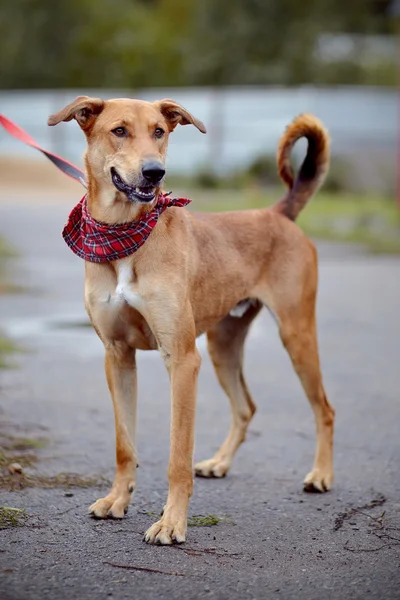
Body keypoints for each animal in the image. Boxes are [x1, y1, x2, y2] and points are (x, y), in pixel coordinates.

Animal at [47, 97, 334, 544]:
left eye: (160, 131)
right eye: (119, 130)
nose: (155, 172)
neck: (125, 234)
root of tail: (278, 213)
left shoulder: (182, 360)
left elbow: (177, 456)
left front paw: (171, 523)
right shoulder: (118, 356)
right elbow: (124, 445)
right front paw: (117, 500)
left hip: (296, 333)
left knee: (324, 409)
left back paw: (320, 474)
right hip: (223, 344)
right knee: (246, 407)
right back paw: (219, 462)